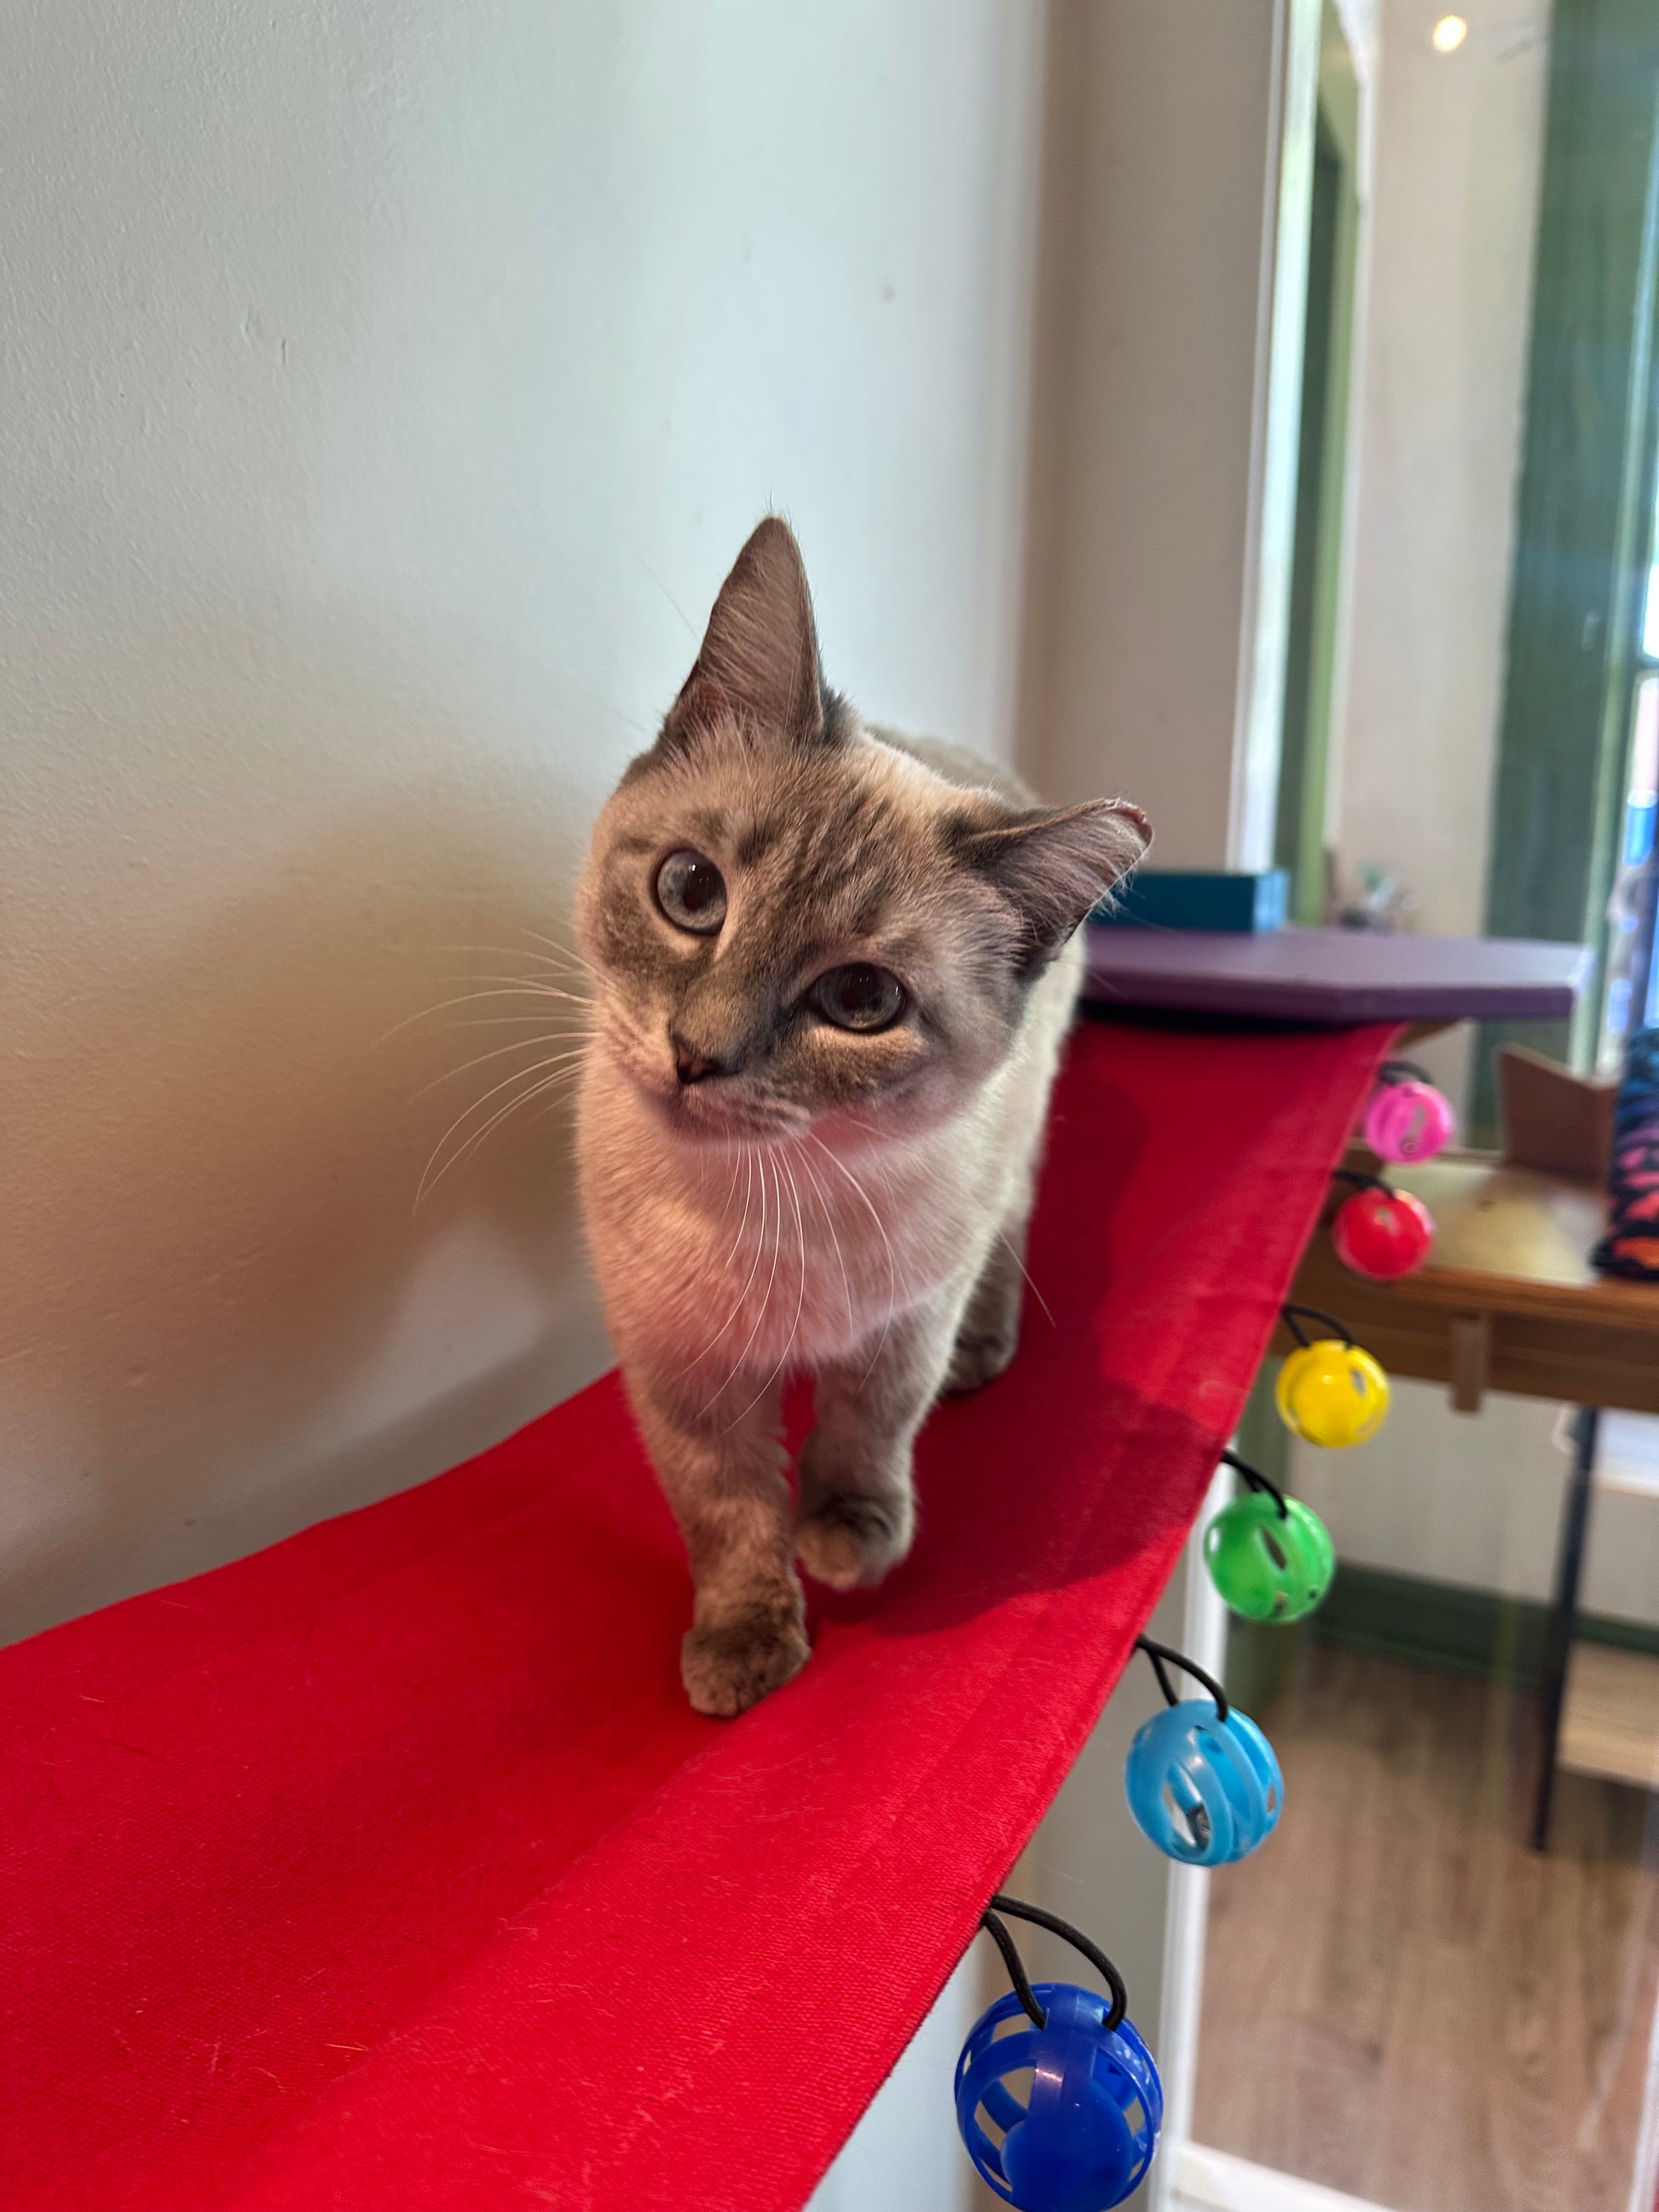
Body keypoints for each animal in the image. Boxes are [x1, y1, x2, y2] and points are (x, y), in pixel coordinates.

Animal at [576, 518, 1149, 1716]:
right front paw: (745, 1648)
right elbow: (726, 1513)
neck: (763, 1204)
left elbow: (863, 1434)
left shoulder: (900, 1326)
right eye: (690, 892)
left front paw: (846, 1539)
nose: (694, 1057)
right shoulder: (682, 1367)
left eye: (858, 1001)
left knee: (1007, 1241)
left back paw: (984, 1354)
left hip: (1011, 1162)